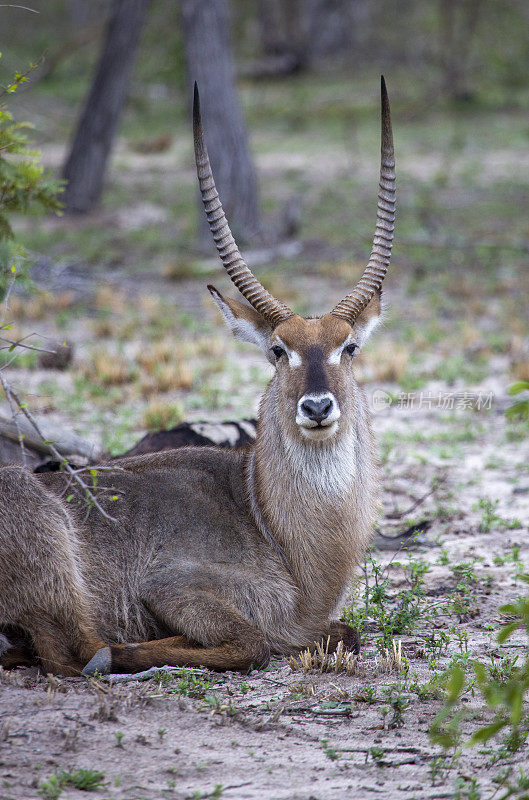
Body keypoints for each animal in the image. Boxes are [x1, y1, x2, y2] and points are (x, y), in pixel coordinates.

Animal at [0, 76, 394, 676]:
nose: (317, 407)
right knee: (74, 652)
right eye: (277, 350)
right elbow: (256, 640)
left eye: (348, 346)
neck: (266, 518)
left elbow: (343, 632)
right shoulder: (172, 584)